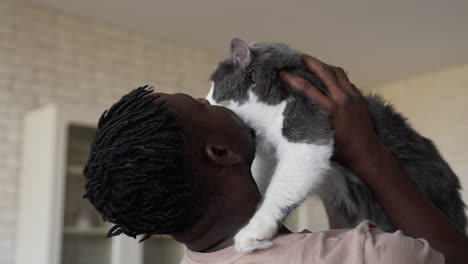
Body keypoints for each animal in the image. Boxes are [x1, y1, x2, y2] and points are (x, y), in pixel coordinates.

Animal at [207, 37, 466, 254]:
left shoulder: (306, 133)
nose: (204, 100)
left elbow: (279, 190)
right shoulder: (268, 155)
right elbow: (259, 178)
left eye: (214, 87)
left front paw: (252, 232)